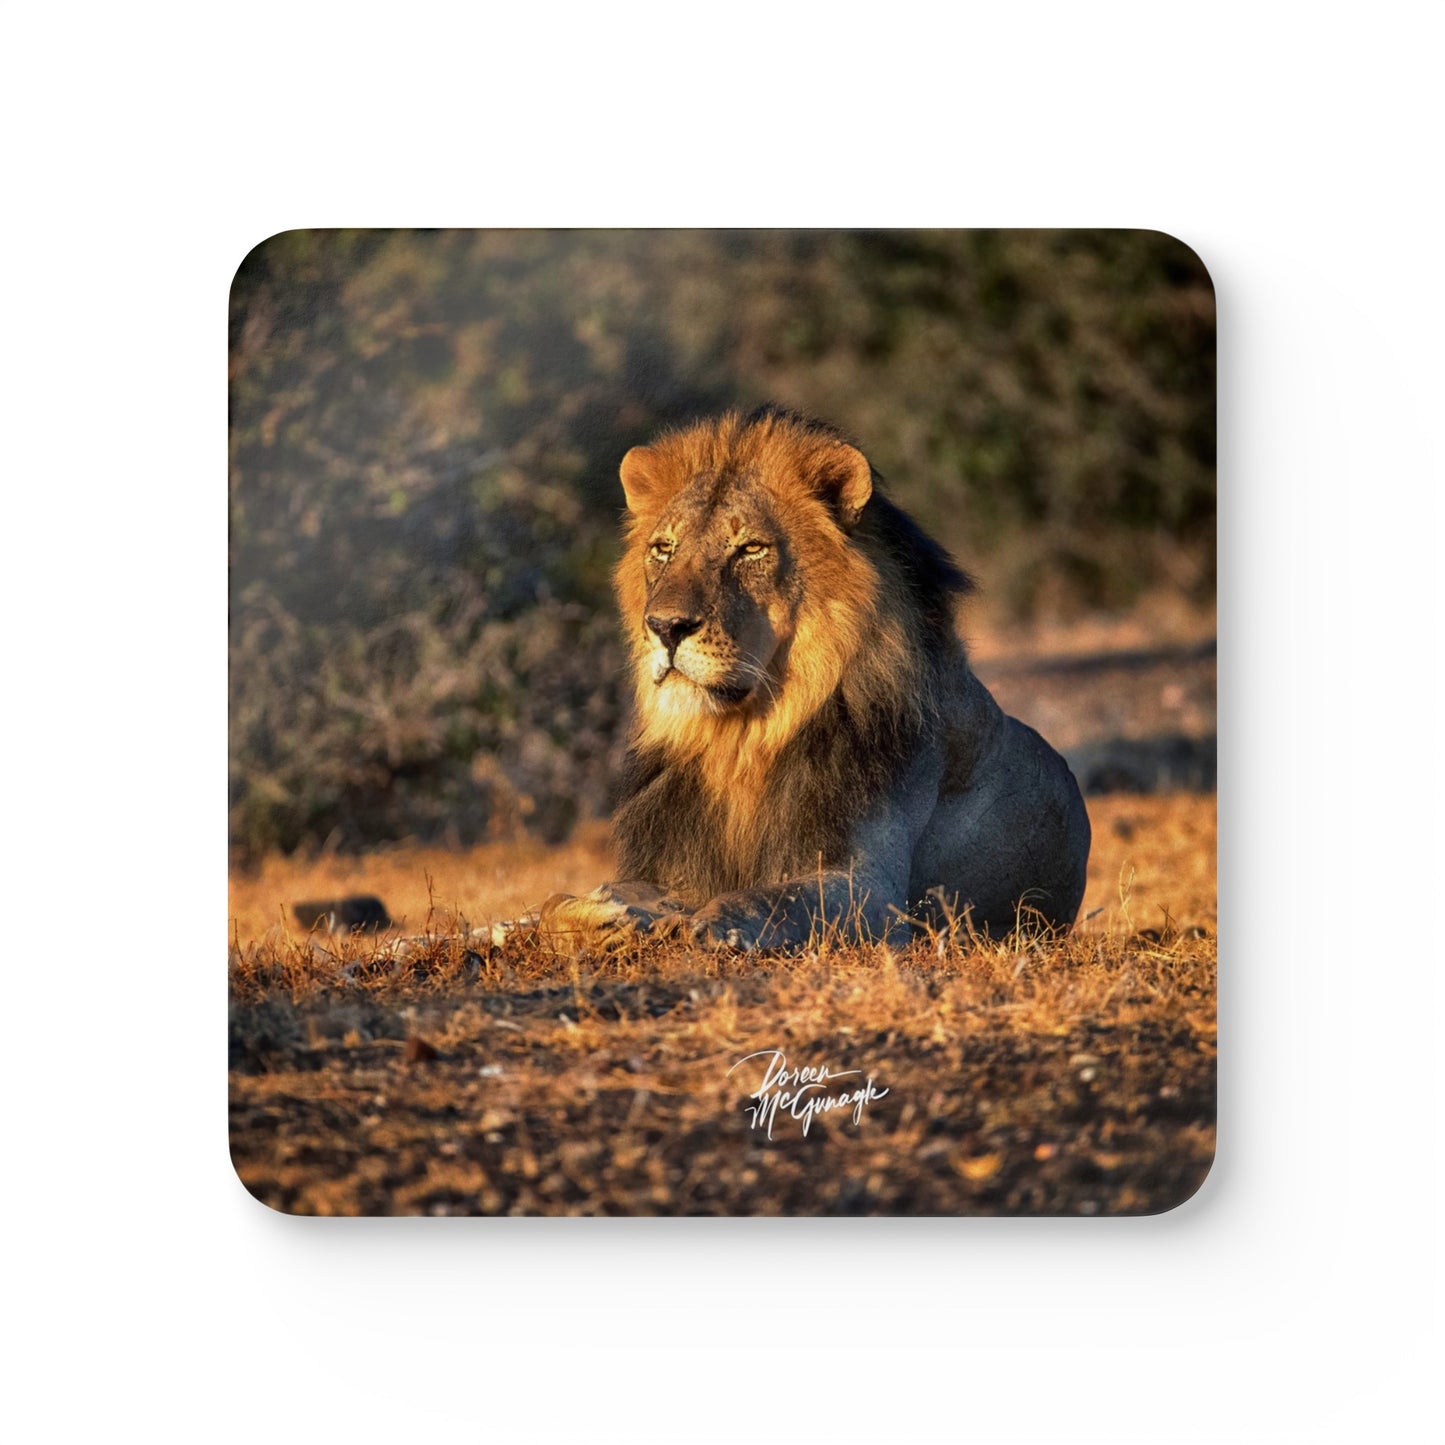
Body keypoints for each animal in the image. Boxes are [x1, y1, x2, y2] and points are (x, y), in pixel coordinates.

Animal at [535, 407, 1090, 953]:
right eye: (663, 549)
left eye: (751, 549)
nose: (665, 626)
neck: (740, 739)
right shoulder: (673, 866)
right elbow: (551, 905)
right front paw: (603, 913)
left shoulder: (872, 889)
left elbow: (770, 898)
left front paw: (713, 925)